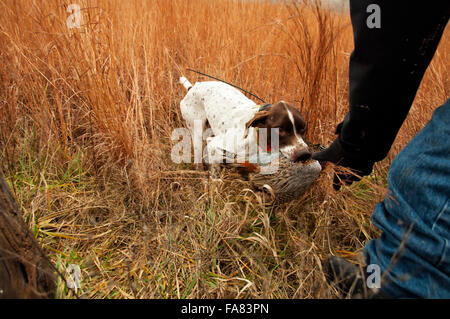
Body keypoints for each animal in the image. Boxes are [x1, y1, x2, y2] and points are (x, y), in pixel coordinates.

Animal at [178, 77, 312, 168]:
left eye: (303, 129)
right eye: (280, 130)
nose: (305, 154)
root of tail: (193, 87)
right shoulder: (214, 144)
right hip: (197, 133)